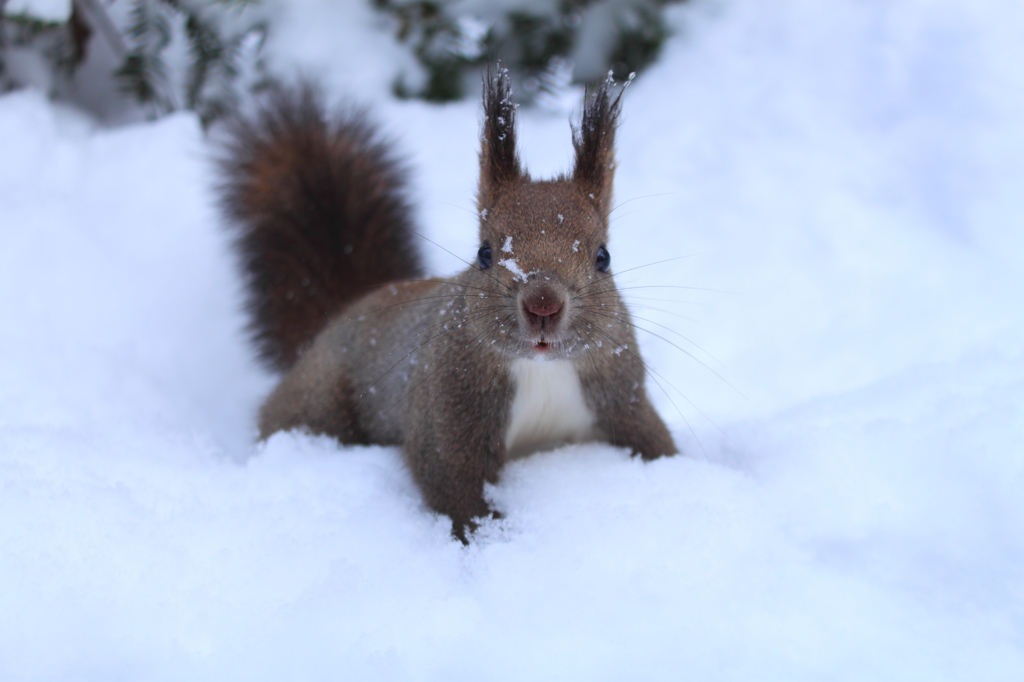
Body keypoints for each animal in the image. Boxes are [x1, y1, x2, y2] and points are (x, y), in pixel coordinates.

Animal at [218, 66, 679, 540]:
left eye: (603, 257)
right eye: (484, 253)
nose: (543, 306)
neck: (541, 370)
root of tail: (338, 318)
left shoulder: (622, 398)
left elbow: (656, 443)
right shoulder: (447, 409)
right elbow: (453, 485)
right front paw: (494, 541)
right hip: (320, 398)